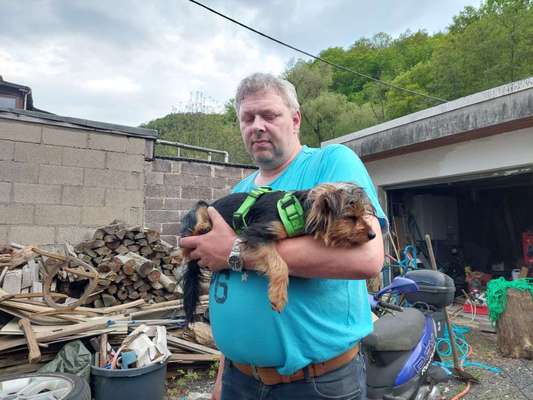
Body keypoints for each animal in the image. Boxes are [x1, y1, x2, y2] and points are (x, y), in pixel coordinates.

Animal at [178, 181, 374, 322]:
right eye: (350, 217)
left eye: (362, 215)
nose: (372, 235)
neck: (298, 210)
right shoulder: (255, 233)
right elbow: (279, 264)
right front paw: (278, 296)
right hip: (201, 208)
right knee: (185, 243)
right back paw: (203, 228)